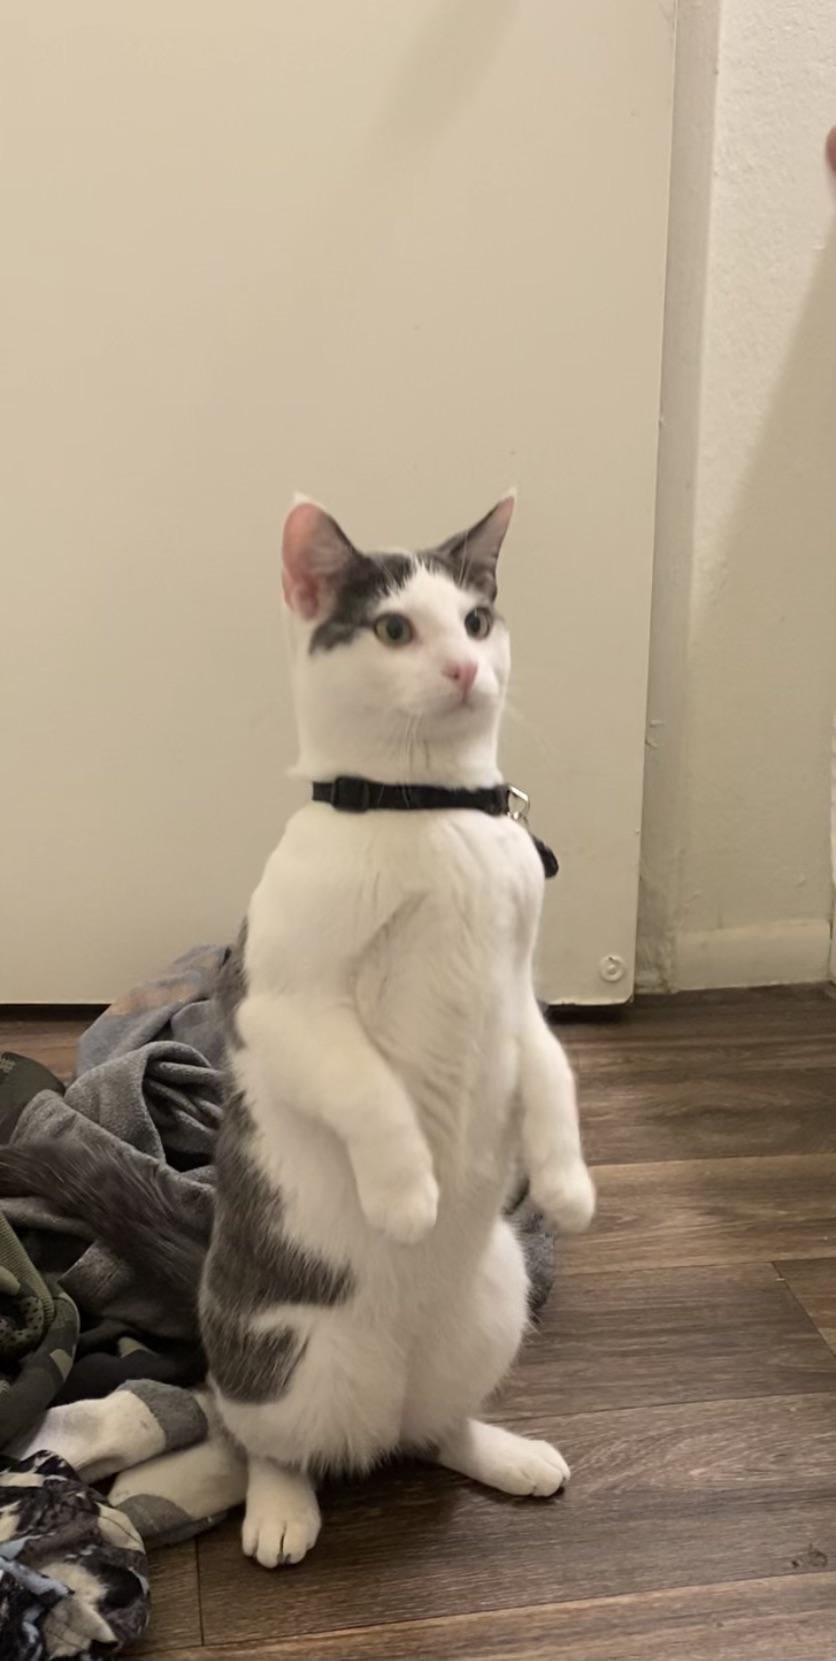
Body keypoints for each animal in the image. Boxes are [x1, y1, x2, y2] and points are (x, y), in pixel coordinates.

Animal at [0, 492, 595, 1568]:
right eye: (395, 629)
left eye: (476, 620)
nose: (464, 668)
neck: (428, 811)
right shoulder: (284, 1005)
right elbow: (368, 1087)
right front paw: (405, 1191)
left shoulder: (520, 986)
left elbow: (552, 1067)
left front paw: (567, 1181)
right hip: (284, 1352)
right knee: (261, 1435)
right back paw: (282, 1507)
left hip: (488, 1314)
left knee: (430, 1427)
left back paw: (501, 1451)